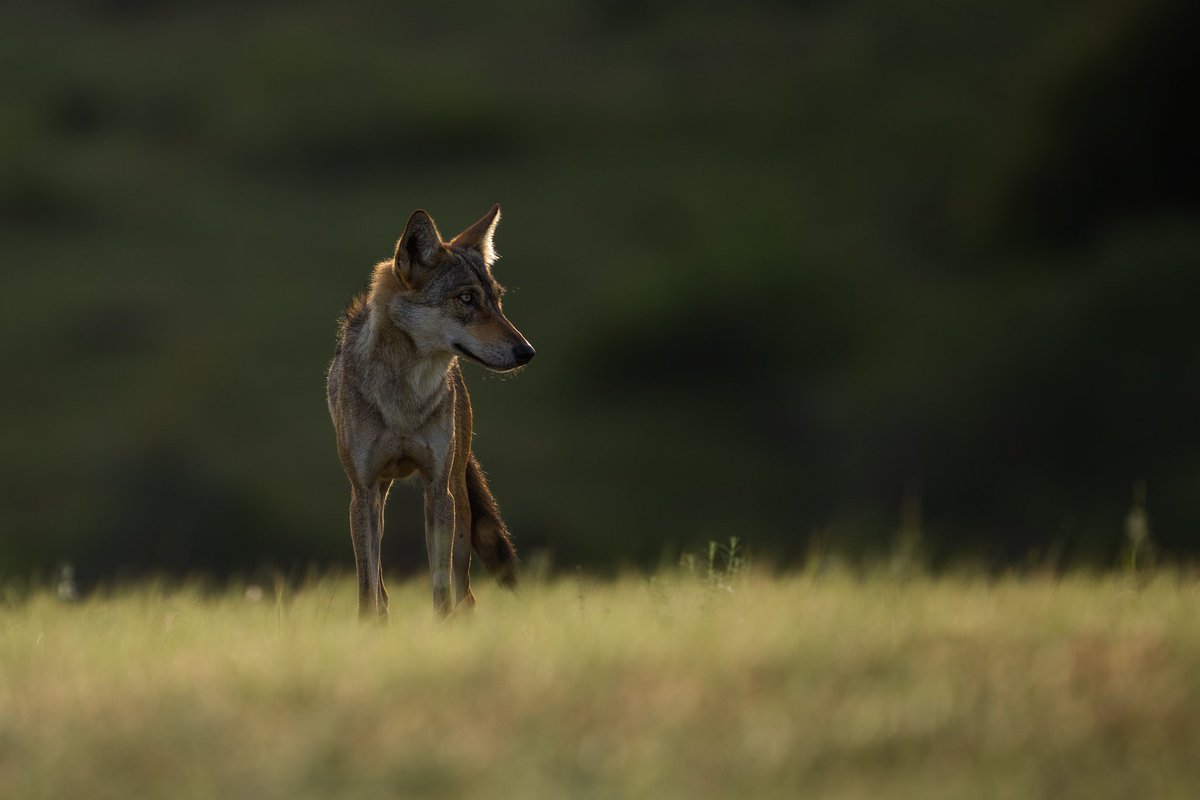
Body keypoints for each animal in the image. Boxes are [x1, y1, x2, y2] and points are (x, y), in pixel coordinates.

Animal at [326, 205, 534, 619]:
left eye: (496, 300)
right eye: (466, 298)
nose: (527, 351)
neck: (405, 397)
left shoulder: (437, 488)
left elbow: (440, 586)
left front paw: (442, 627)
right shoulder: (363, 489)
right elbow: (367, 588)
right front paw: (367, 627)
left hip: (458, 499)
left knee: (465, 591)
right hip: (380, 498)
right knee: (380, 584)